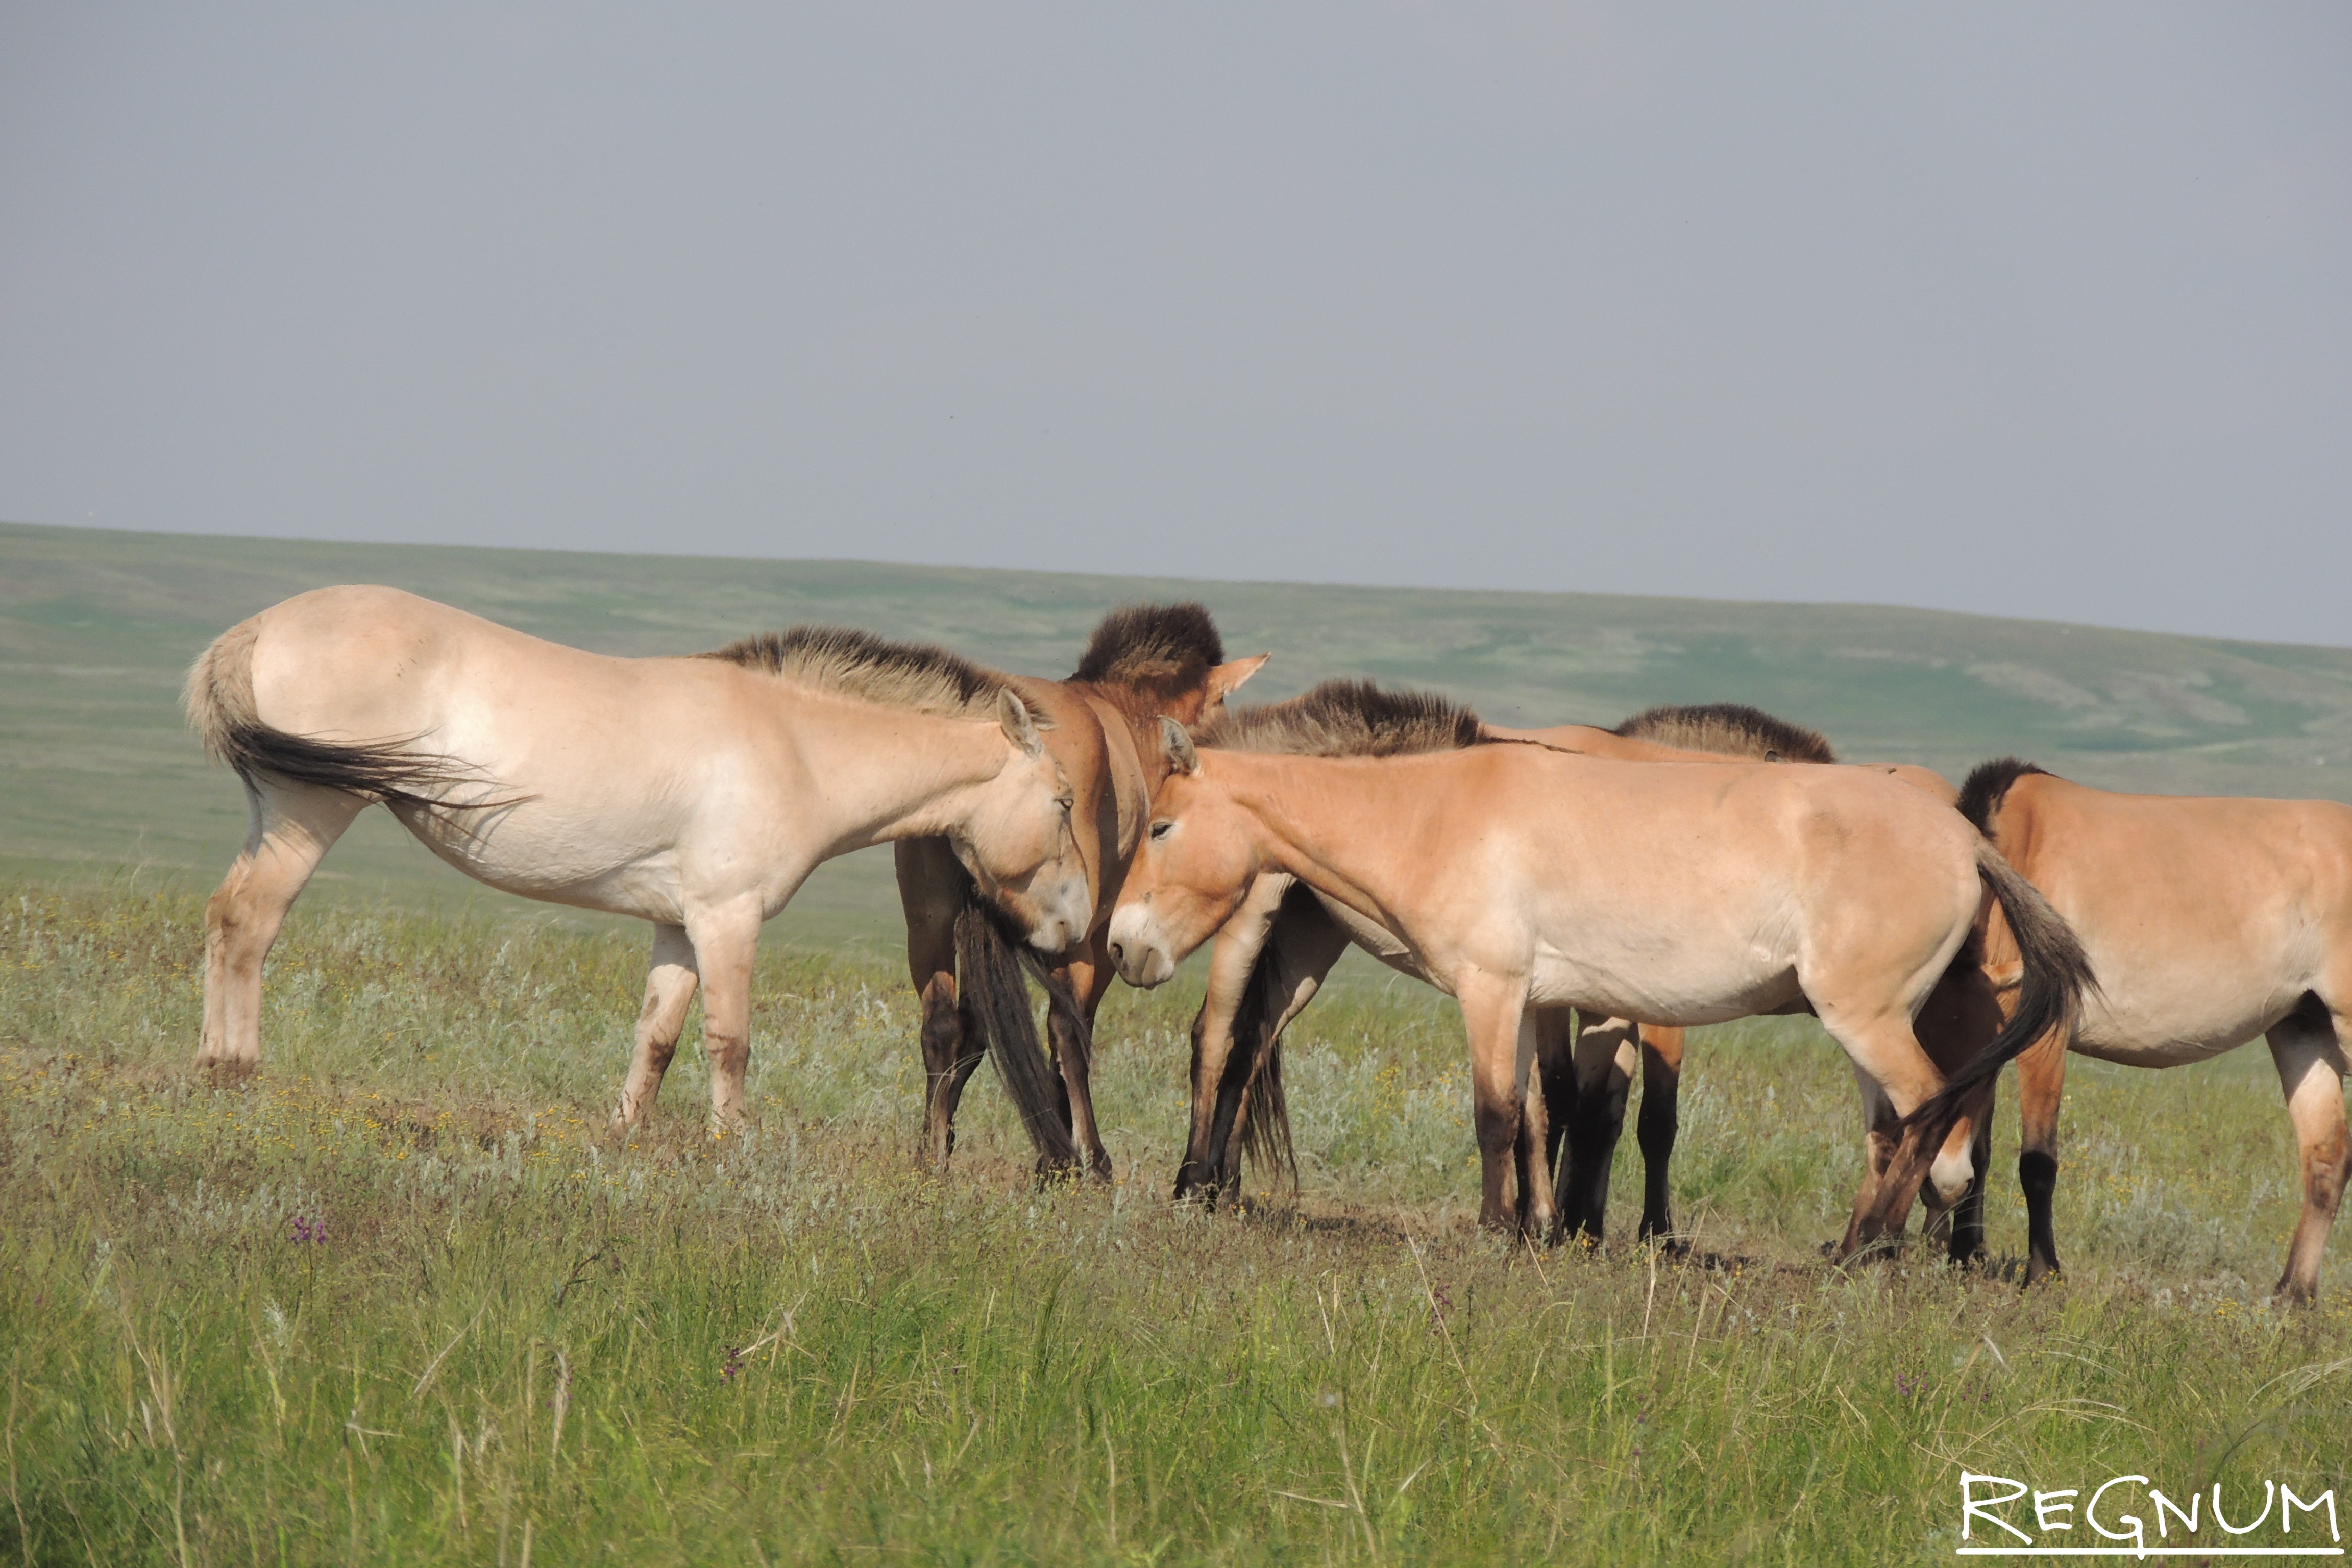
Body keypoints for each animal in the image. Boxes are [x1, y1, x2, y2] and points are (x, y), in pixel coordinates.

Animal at [188, 587, 1096, 1128]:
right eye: (1062, 802)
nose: (1079, 924)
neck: (798, 744)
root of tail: (260, 626)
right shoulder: (729, 920)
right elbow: (731, 1040)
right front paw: (733, 1149)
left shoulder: (678, 926)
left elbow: (656, 1037)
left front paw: (627, 1134)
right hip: (312, 810)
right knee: (251, 925)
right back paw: (235, 1071)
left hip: (276, 807)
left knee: (224, 917)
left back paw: (208, 1066)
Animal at [889, 606, 1270, 1185]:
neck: (1127, 719)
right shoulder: (1104, 938)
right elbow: (1072, 1027)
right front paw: (1067, 1150)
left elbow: (976, 1032)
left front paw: (946, 1138)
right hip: (1068, 930)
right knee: (1061, 1027)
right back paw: (1087, 1159)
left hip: (927, 922)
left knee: (942, 1027)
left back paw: (932, 1158)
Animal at [1110, 691, 2088, 1241]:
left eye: (1160, 825)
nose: (1121, 944)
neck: (1431, 807)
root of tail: (1966, 841)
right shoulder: (1528, 1001)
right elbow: (1536, 1112)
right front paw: (1532, 1226)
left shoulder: (1491, 993)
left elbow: (1497, 1116)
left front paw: (1497, 1231)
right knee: (1893, 1126)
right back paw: (1858, 1242)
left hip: (1869, 1021)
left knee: (1924, 1110)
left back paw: (1872, 1248)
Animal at [1947, 762, 2352, 1297]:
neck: (2016, 855)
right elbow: (1982, 1151)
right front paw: (1963, 1257)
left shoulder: (2043, 1040)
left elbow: (2037, 1162)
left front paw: (2043, 1275)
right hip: (2305, 1030)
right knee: (2326, 1157)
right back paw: (2293, 1296)